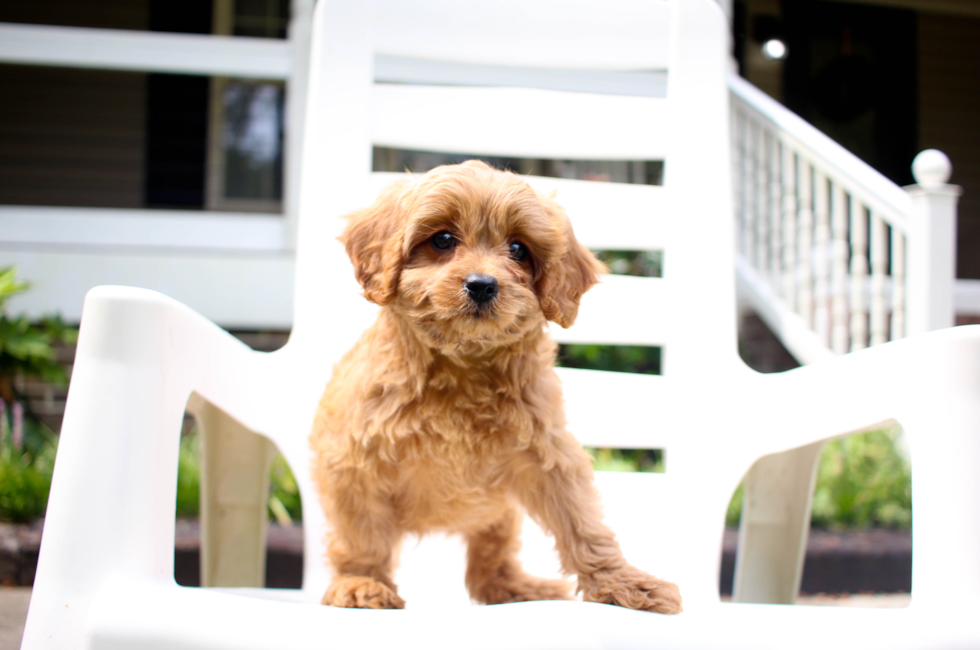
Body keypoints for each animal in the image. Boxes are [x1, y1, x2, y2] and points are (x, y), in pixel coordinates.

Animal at [312, 159, 680, 612]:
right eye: (443, 239)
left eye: (519, 249)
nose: (482, 284)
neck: (463, 364)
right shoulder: (355, 460)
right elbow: (361, 533)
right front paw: (361, 582)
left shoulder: (548, 453)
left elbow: (581, 521)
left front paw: (622, 583)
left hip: (499, 515)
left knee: (492, 558)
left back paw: (517, 587)